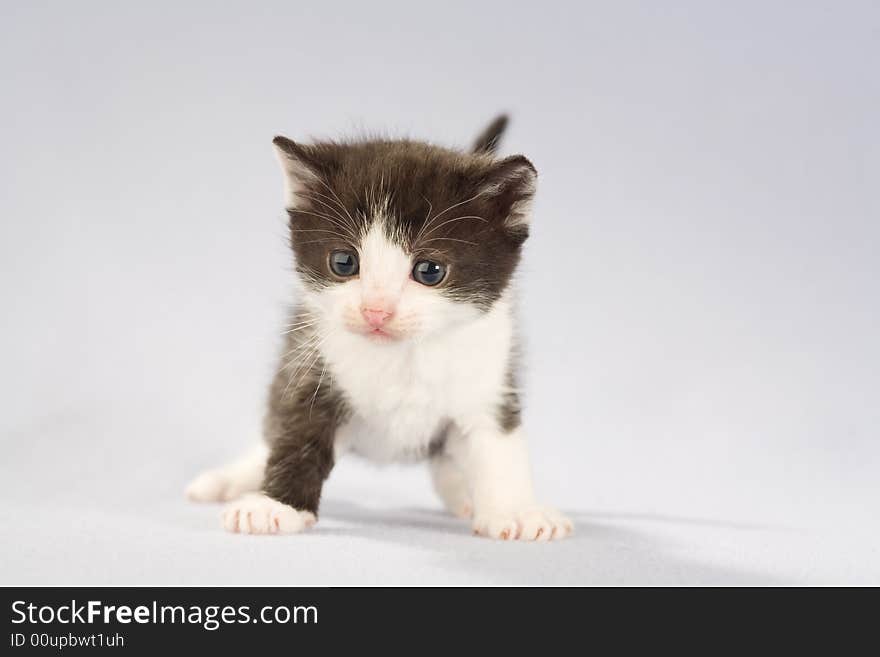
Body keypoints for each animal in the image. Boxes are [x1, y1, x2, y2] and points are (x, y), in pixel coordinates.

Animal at [186, 115, 576, 540]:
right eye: (343, 262)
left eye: (429, 270)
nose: (376, 311)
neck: (402, 357)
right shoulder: (312, 363)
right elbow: (295, 431)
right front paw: (274, 505)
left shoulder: (490, 378)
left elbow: (498, 444)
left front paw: (516, 512)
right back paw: (232, 478)